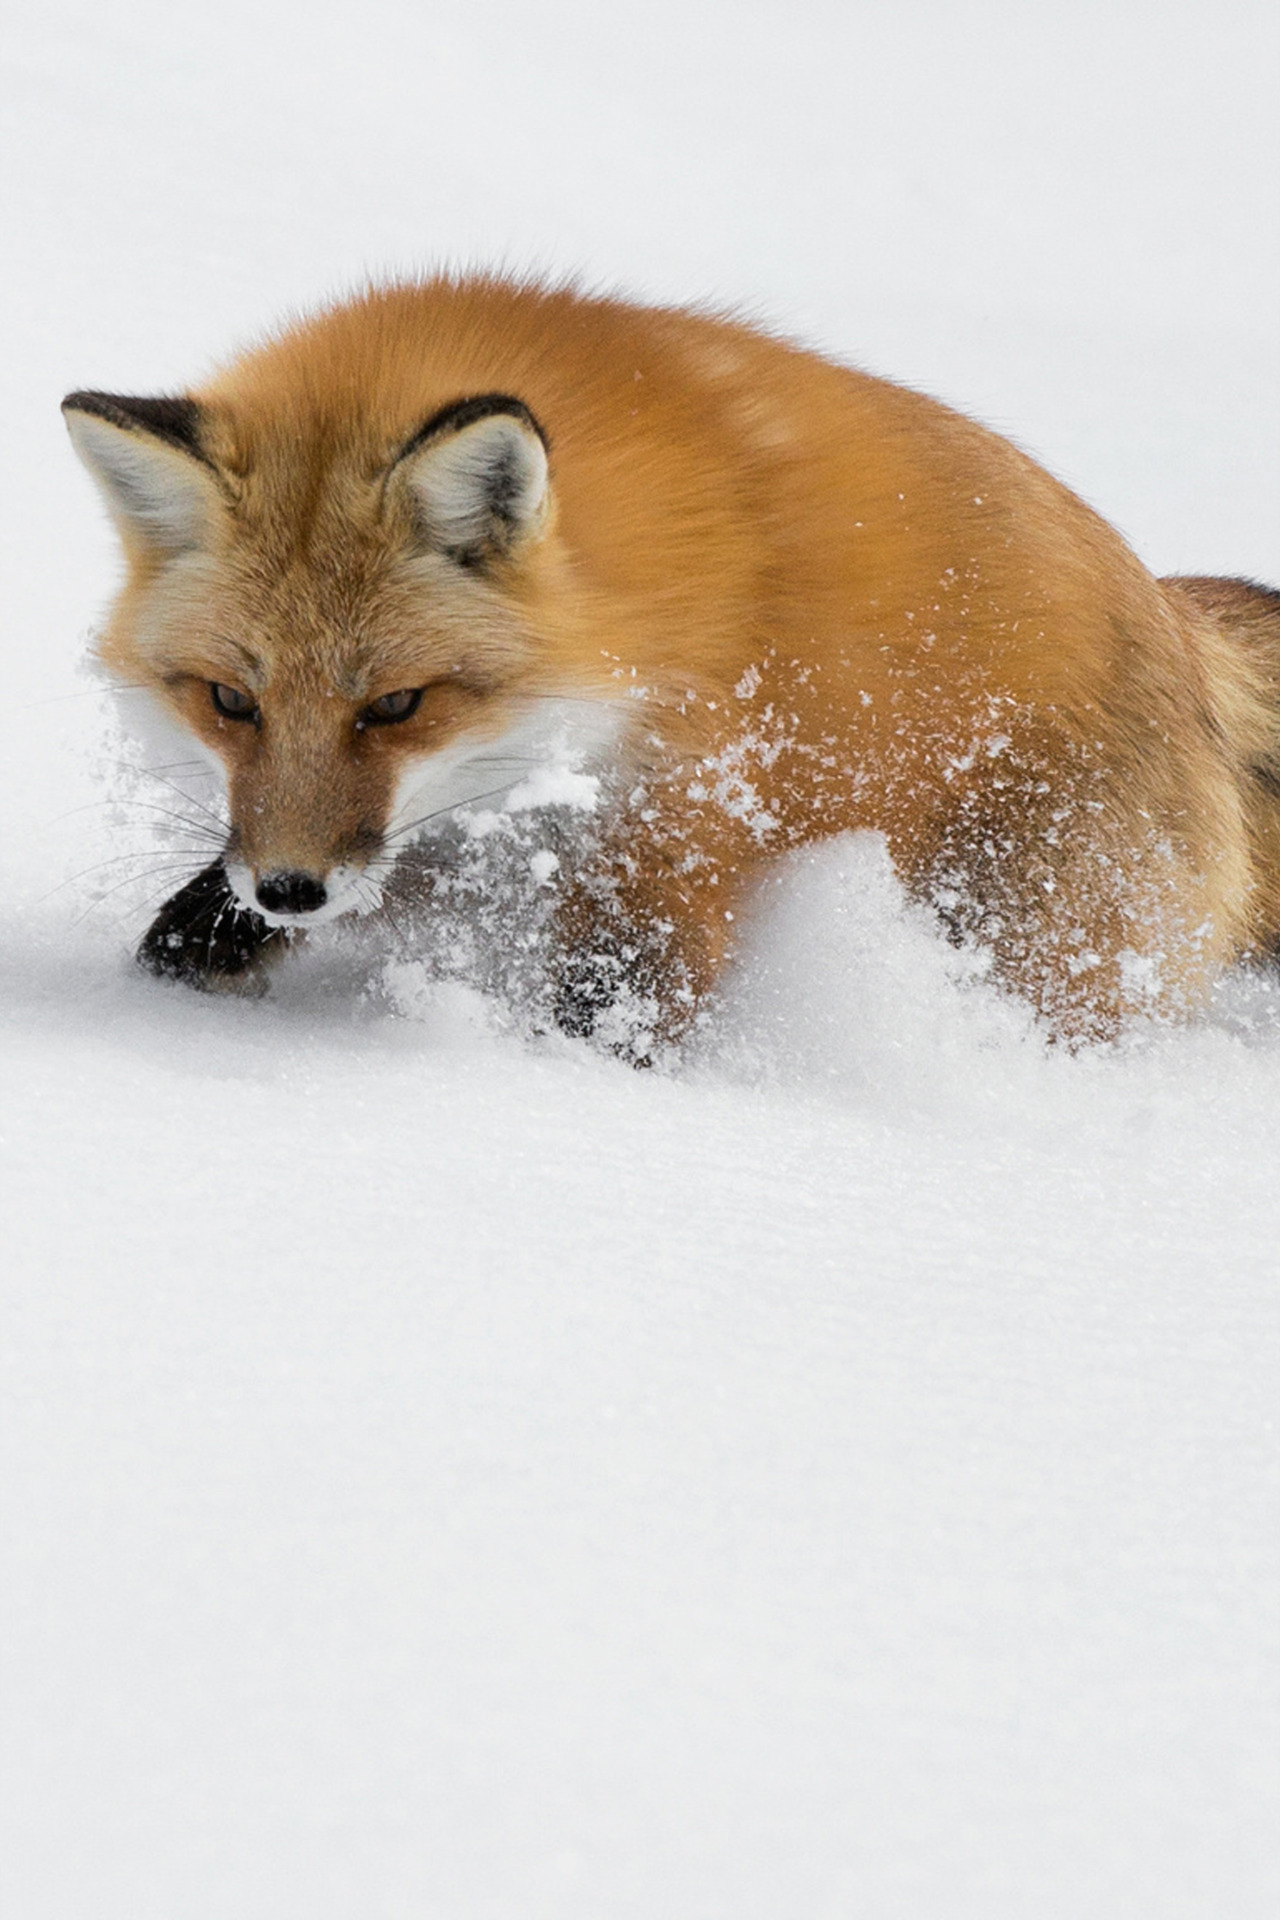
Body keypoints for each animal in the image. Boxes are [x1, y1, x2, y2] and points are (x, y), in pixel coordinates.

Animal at [65, 276, 1280, 1044]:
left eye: (397, 704)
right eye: (230, 701)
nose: (289, 890)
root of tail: (1173, 621)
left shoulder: (684, 819)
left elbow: (619, 1004)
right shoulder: (462, 831)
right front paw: (199, 949)